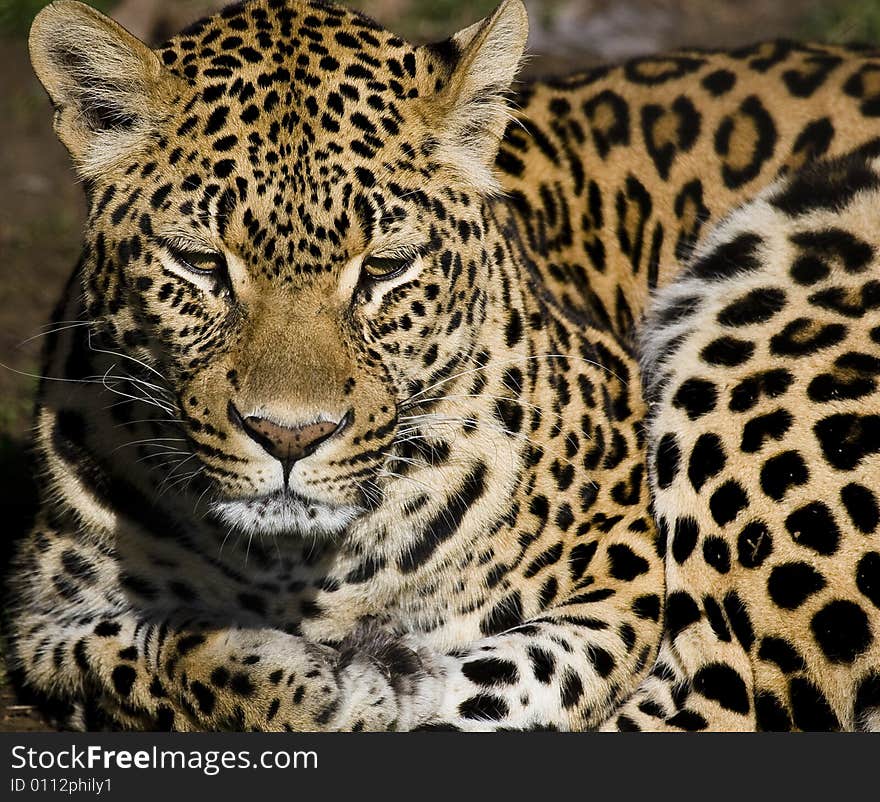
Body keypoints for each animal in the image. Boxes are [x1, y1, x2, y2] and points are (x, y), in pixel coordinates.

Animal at [6, 0, 880, 732]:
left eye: (385, 269)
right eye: (199, 264)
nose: (289, 438)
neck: (299, 573)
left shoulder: (623, 561)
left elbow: (526, 670)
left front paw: (377, 683)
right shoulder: (45, 616)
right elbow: (151, 655)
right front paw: (312, 683)